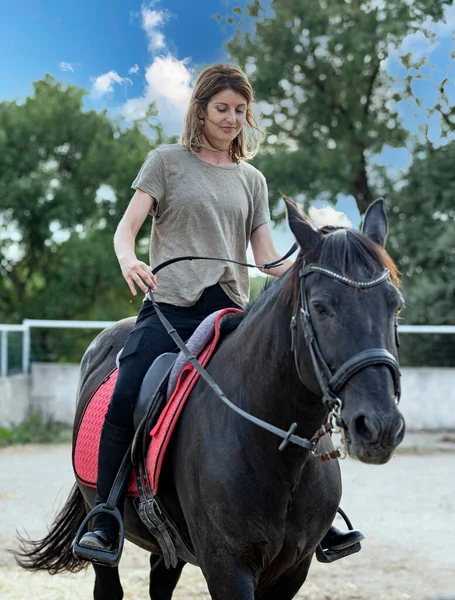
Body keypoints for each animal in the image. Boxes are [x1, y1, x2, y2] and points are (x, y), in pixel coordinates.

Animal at [15, 199, 406, 596]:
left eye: (395, 305)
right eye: (323, 306)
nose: (379, 427)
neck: (270, 443)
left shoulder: (295, 568)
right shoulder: (227, 567)